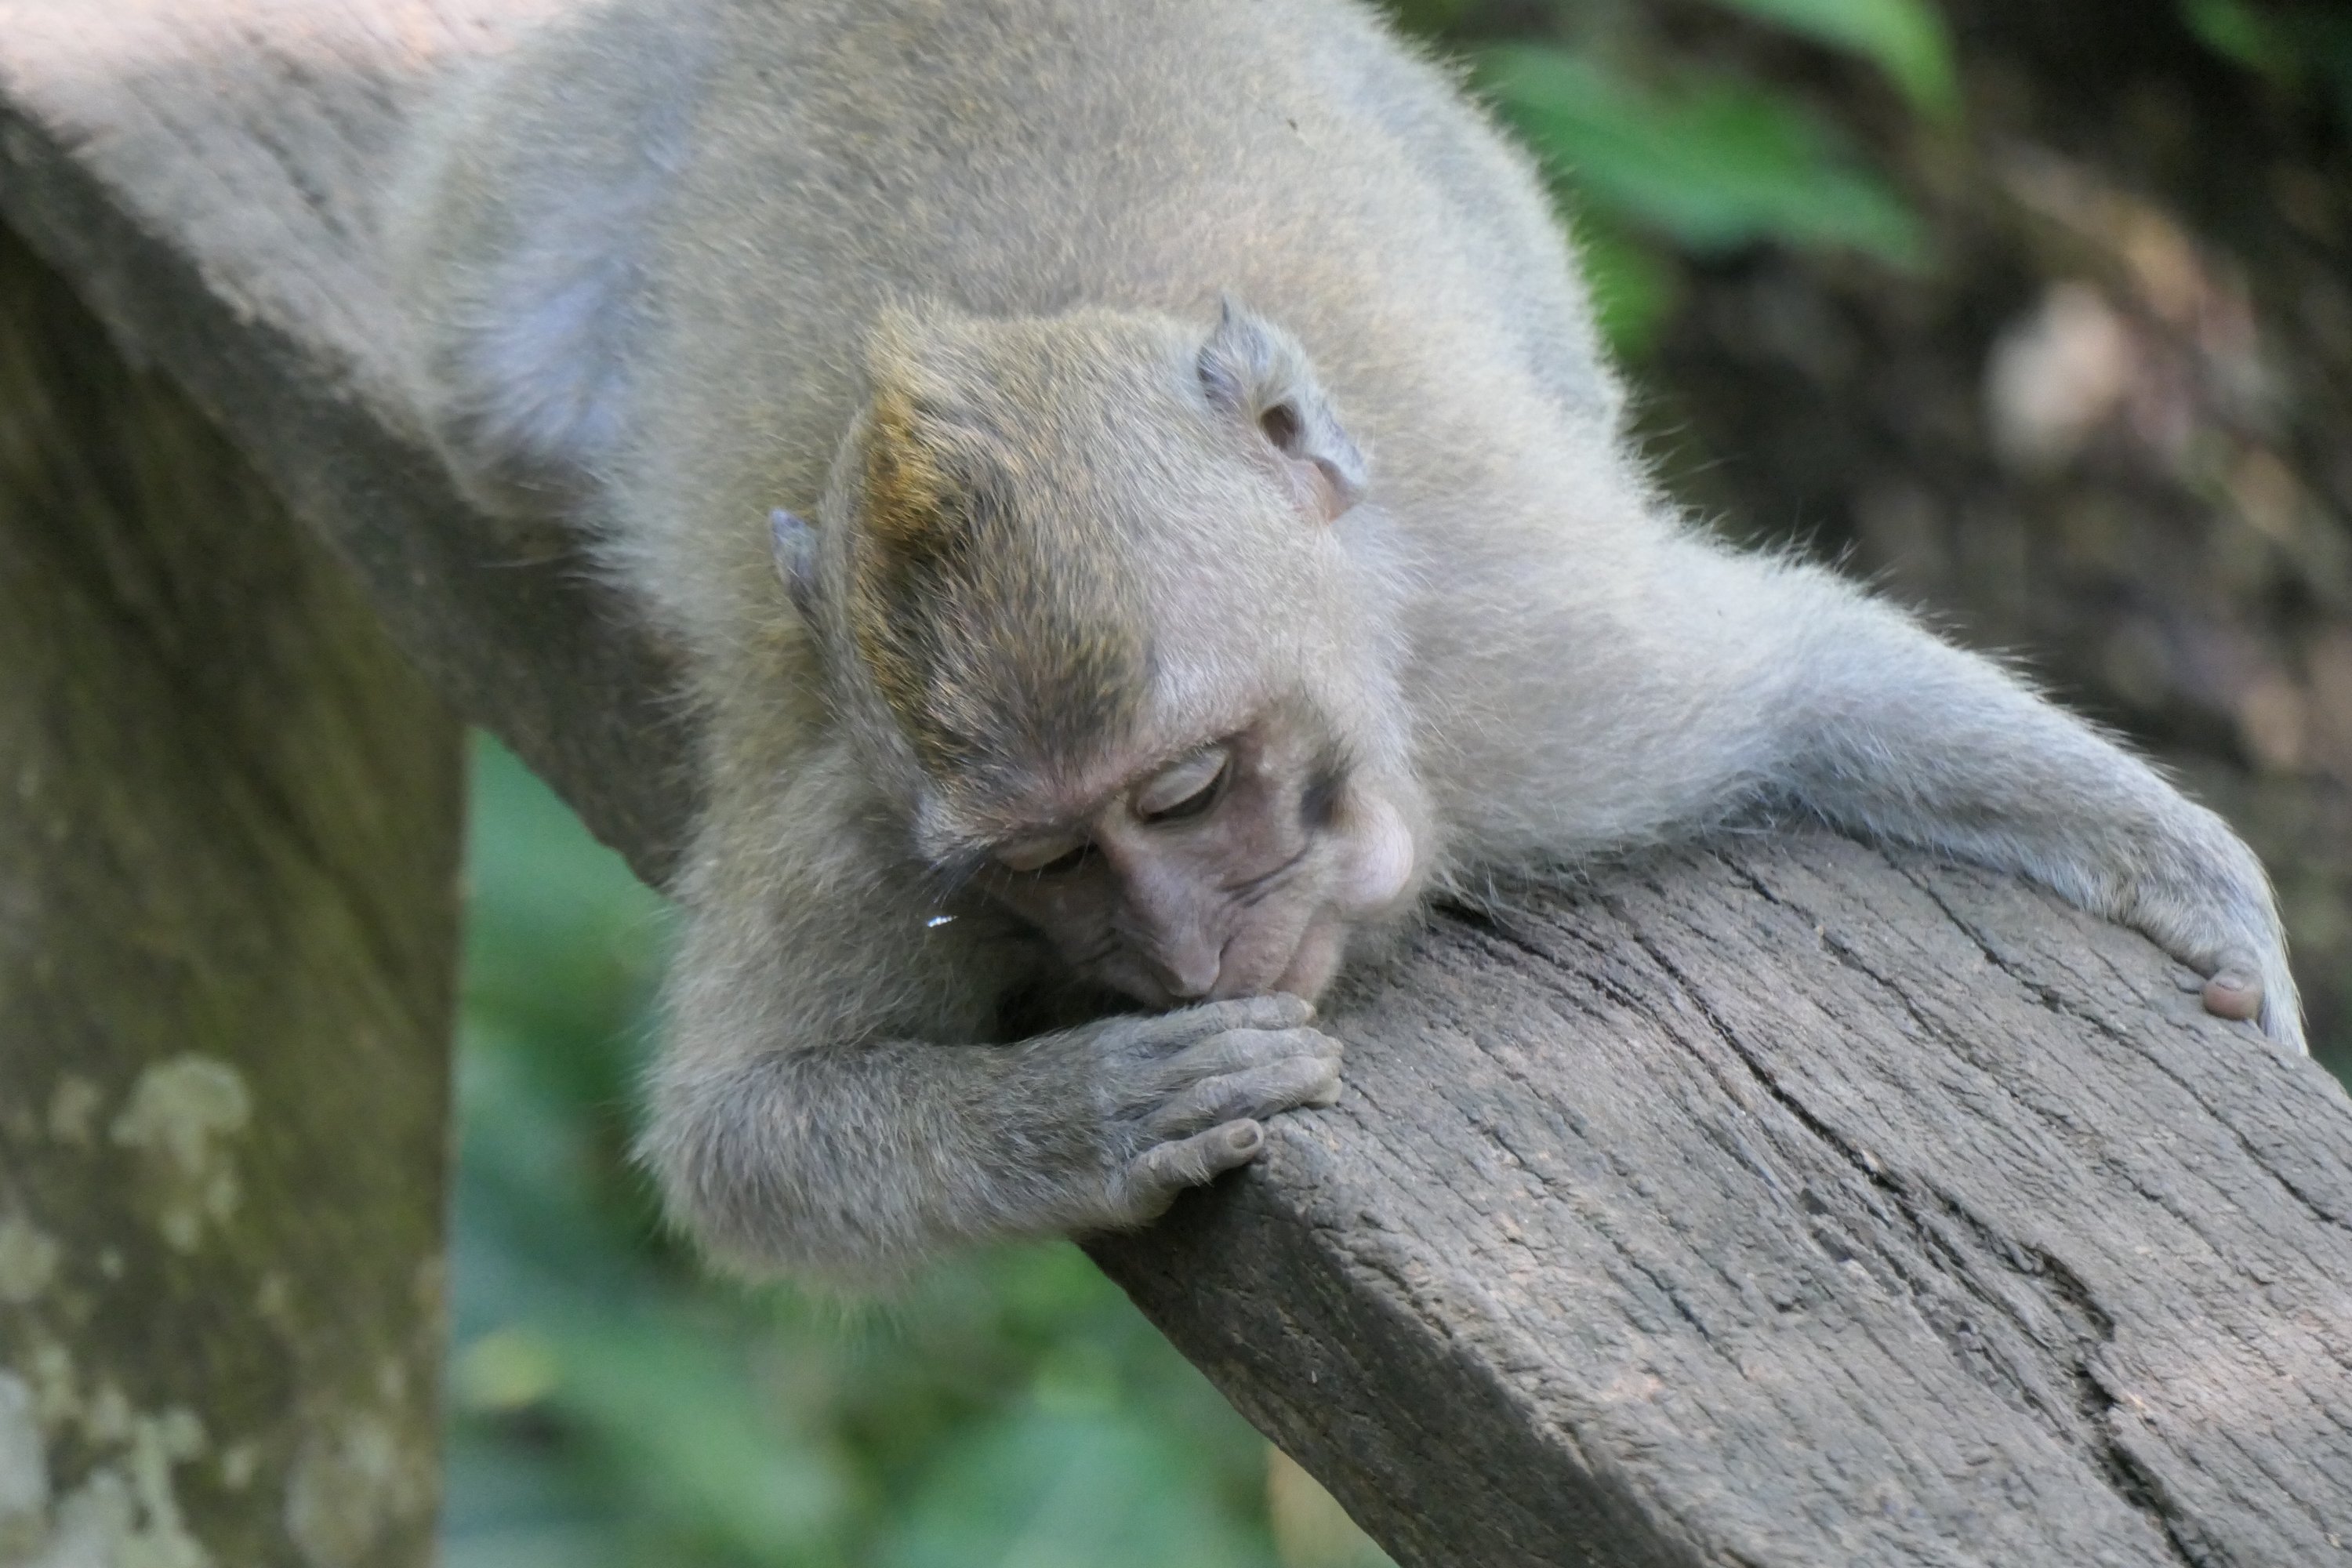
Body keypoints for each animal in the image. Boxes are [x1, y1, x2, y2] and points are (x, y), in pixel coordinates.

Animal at [388, 0, 2304, 1278]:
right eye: (1049, 862)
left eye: (1183, 793)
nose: (1189, 948)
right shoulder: (866, 823)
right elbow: (742, 1134)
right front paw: (1091, 1119)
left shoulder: (1555, 685)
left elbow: (1806, 679)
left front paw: (2202, 896)